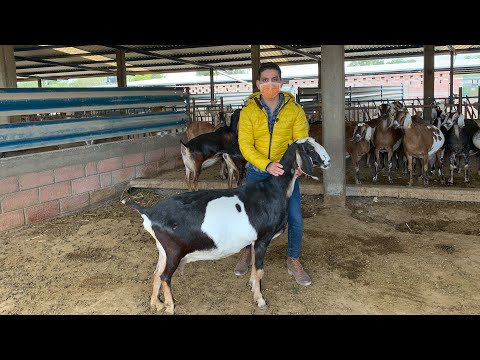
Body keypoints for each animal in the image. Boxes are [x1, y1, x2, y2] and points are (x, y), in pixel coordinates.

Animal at [122, 136, 330, 314]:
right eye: (310, 149)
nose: (328, 161)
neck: (273, 191)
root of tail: (148, 212)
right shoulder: (263, 238)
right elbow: (260, 270)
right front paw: (260, 300)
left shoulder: (254, 240)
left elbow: (254, 268)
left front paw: (252, 287)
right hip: (174, 250)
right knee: (165, 276)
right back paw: (170, 306)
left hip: (163, 249)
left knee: (157, 273)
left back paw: (156, 303)